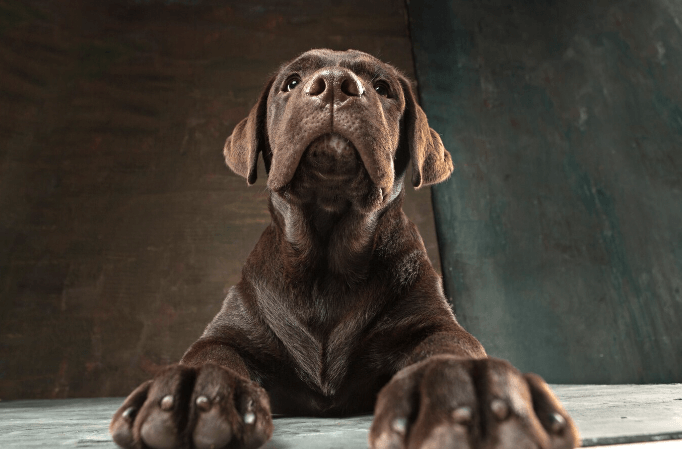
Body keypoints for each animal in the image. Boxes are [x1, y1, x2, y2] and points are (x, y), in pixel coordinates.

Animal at [109, 49, 576, 448]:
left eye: (383, 87)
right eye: (291, 81)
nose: (335, 83)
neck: (326, 264)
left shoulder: (432, 323)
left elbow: (449, 346)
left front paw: (463, 389)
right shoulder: (232, 330)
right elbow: (210, 354)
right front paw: (192, 392)